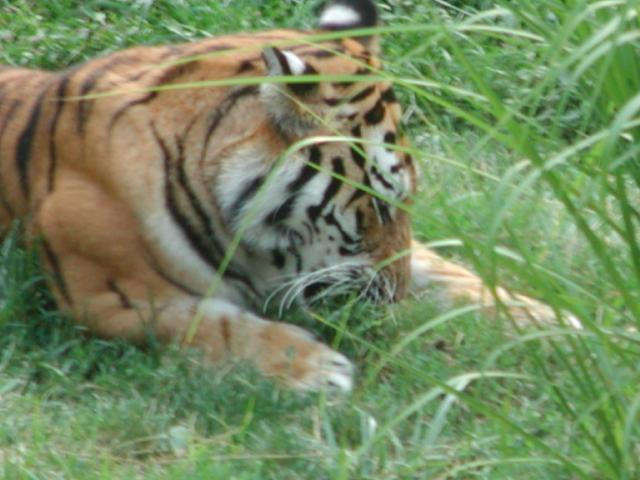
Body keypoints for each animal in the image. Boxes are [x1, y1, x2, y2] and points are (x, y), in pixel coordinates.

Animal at [0, 0, 579, 392]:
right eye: (379, 205)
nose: (395, 297)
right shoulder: (108, 297)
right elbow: (211, 325)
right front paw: (315, 368)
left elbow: (454, 276)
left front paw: (551, 322)